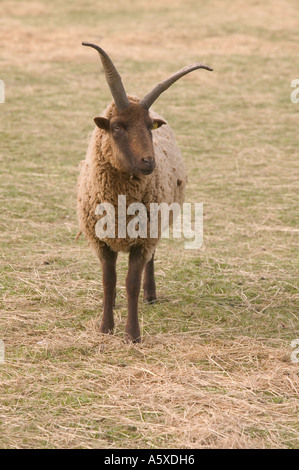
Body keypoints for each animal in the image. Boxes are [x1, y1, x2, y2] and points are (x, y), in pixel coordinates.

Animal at [77, 43, 213, 342]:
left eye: (149, 127)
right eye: (117, 126)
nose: (148, 162)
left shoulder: (142, 239)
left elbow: (131, 283)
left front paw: (132, 335)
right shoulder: (101, 241)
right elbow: (109, 282)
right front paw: (106, 328)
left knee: (150, 261)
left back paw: (150, 295)